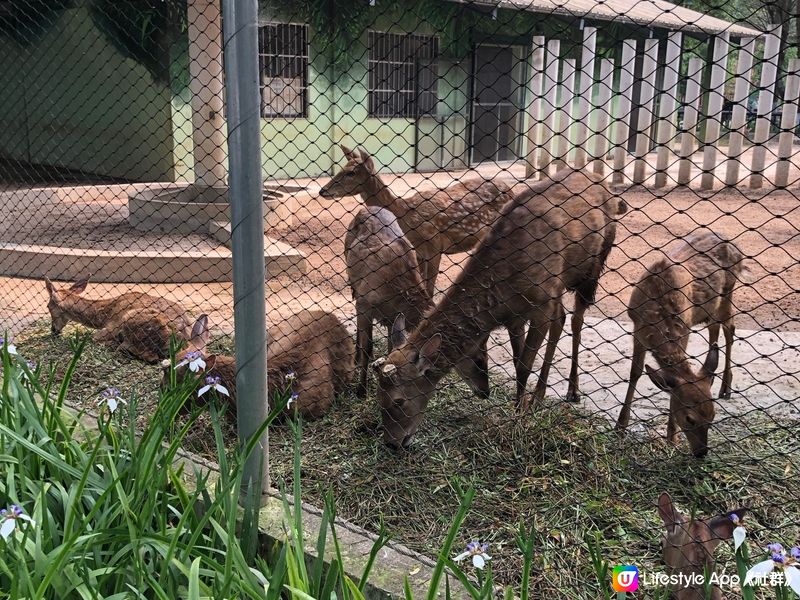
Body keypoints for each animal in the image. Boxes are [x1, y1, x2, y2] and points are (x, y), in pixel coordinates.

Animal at [44, 276, 203, 364]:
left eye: (48, 306)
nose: (53, 330)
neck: (103, 317)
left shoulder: (112, 327)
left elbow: (95, 337)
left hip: (131, 319)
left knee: (150, 356)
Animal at [318, 144, 512, 298]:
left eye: (351, 173)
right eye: (342, 168)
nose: (322, 190)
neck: (406, 215)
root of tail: (510, 190)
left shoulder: (435, 245)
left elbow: (430, 290)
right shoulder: (419, 252)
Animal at [346, 205, 490, 398]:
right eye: (478, 360)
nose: (485, 392)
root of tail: (366, 208)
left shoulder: (392, 316)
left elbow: (394, 345)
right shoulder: (364, 302)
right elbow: (367, 348)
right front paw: (361, 391)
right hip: (353, 282)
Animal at [616, 232, 748, 458]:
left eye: (713, 415)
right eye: (689, 418)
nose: (702, 452)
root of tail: (736, 246)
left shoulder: (684, 330)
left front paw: (672, 437)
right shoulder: (637, 330)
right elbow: (635, 373)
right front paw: (620, 426)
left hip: (728, 292)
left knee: (729, 328)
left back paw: (725, 387)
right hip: (713, 305)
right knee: (716, 329)